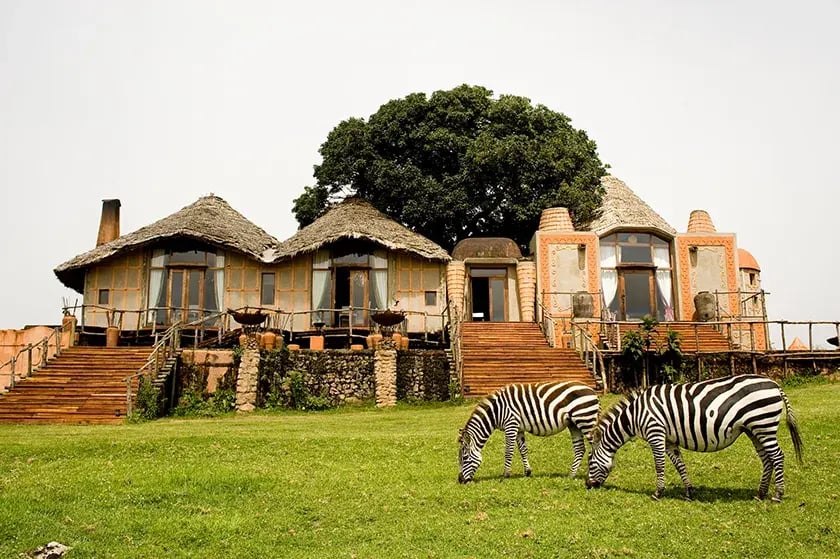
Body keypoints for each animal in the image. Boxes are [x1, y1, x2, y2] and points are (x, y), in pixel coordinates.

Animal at [458, 381, 600, 483]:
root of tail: (593, 391)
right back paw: (571, 475)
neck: (496, 411)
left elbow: (508, 451)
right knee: (580, 449)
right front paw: (527, 472)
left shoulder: (511, 424)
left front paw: (505, 475)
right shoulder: (518, 428)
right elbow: (523, 450)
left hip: (585, 420)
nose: (460, 480)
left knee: (595, 447)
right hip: (574, 424)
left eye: (464, 458)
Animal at [585, 374, 803, 502]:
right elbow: (679, 465)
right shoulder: (669, 440)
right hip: (754, 429)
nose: (587, 486)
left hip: (763, 425)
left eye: (590, 462)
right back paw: (760, 494)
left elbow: (659, 465)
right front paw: (689, 492)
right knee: (767, 459)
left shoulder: (656, 432)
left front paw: (657, 493)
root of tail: (775, 384)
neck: (634, 415)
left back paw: (777, 495)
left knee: (777, 456)